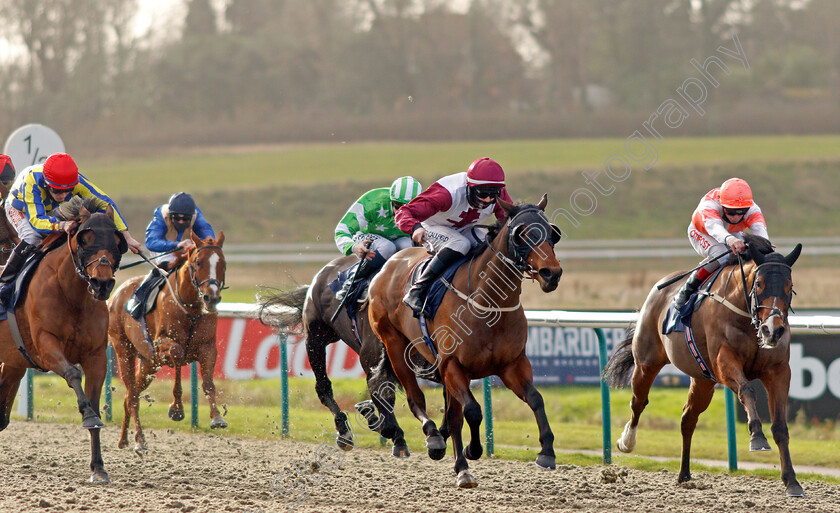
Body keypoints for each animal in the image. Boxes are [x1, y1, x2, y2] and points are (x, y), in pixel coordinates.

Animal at [0, 196, 127, 480]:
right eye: (84, 239)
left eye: (117, 241)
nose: (102, 284)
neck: (72, 295)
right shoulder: (45, 345)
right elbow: (72, 373)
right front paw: (88, 416)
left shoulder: (95, 355)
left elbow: (93, 399)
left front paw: (98, 467)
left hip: (13, 362)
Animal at [108, 230, 226, 450]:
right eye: (198, 262)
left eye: (222, 263)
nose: (212, 298)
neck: (191, 308)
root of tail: (115, 295)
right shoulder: (161, 345)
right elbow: (177, 355)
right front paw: (177, 408)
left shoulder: (208, 348)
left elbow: (208, 383)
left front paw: (217, 417)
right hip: (123, 350)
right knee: (132, 395)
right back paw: (139, 439)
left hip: (149, 363)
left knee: (130, 395)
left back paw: (123, 439)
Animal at [258, 254, 412, 458]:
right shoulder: (373, 355)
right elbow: (382, 396)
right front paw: (393, 433)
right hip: (315, 338)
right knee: (323, 386)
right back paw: (344, 430)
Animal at [370, 194, 560, 486]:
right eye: (523, 233)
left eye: (552, 233)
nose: (552, 273)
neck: (489, 304)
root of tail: (388, 265)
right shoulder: (453, 366)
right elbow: (472, 411)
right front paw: (470, 453)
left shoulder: (512, 365)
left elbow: (535, 398)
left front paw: (547, 452)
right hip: (394, 345)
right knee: (416, 399)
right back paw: (436, 440)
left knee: (451, 414)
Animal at [604, 235, 808, 496]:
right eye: (760, 284)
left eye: (789, 286)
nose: (772, 330)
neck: (746, 317)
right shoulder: (724, 363)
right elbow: (747, 390)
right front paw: (756, 436)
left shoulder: (779, 371)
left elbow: (781, 427)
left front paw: (792, 481)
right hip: (646, 363)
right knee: (638, 402)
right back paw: (626, 441)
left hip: (702, 380)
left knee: (688, 419)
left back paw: (684, 474)